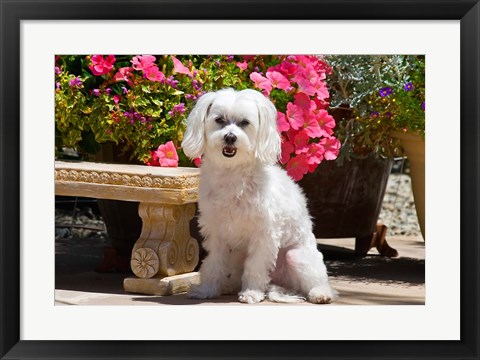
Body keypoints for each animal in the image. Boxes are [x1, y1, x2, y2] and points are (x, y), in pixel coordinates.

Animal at [181, 88, 338, 304]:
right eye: (219, 120)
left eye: (245, 122)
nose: (230, 137)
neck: (233, 172)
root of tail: (281, 284)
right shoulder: (216, 232)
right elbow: (213, 263)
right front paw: (207, 290)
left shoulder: (264, 234)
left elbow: (255, 266)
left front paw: (251, 293)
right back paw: (228, 286)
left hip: (297, 256)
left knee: (317, 281)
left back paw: (320, 293)